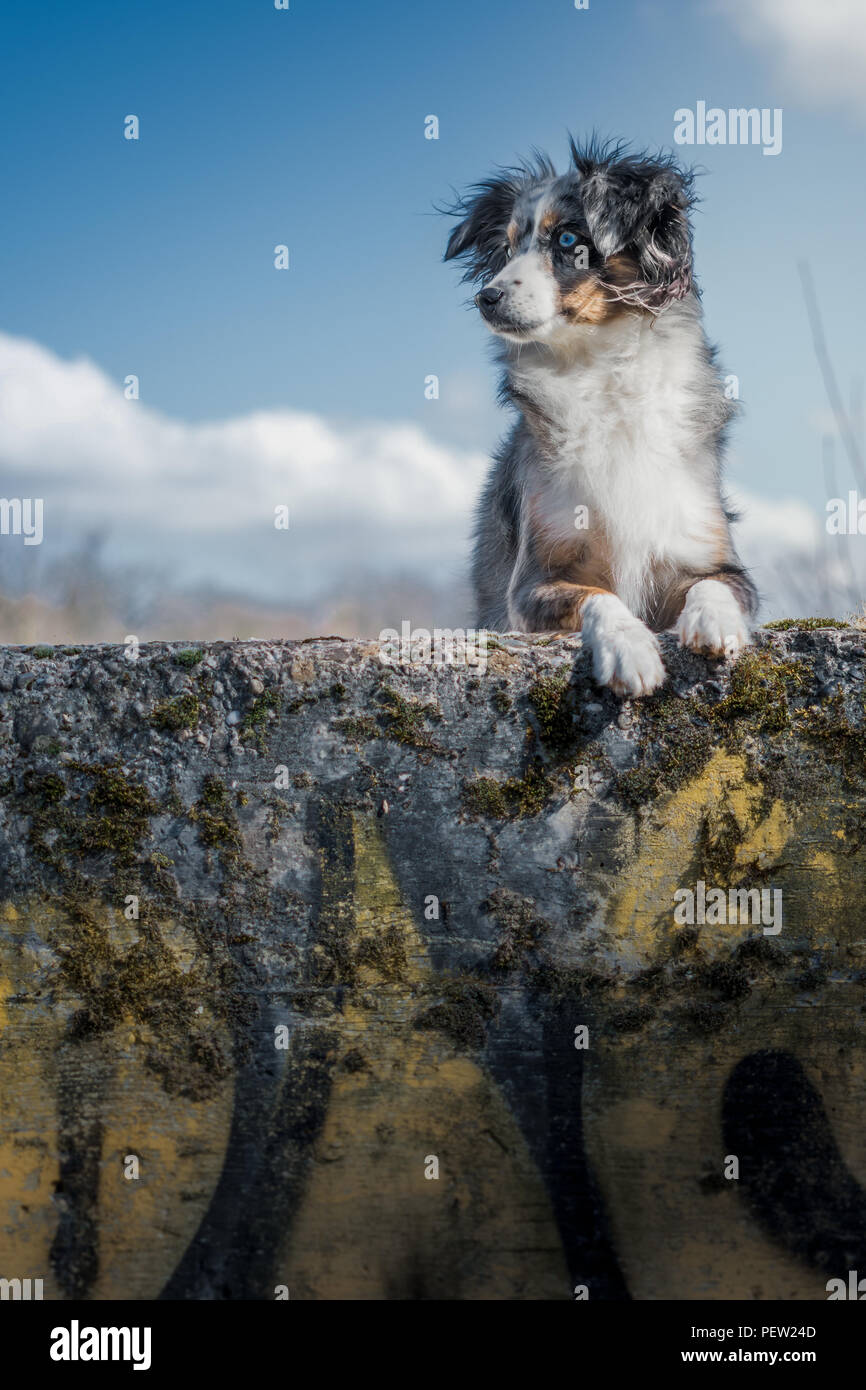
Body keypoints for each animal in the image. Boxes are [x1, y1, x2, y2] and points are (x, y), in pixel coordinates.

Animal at [447, 141, 756, 695]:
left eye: (568, 239)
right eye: (508, 249)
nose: (486, 297)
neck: (604, 371)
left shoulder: (717, 560)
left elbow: (714, 586)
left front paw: (714, 622)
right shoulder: (532, 584)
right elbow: (600, 597)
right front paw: (628, 649)